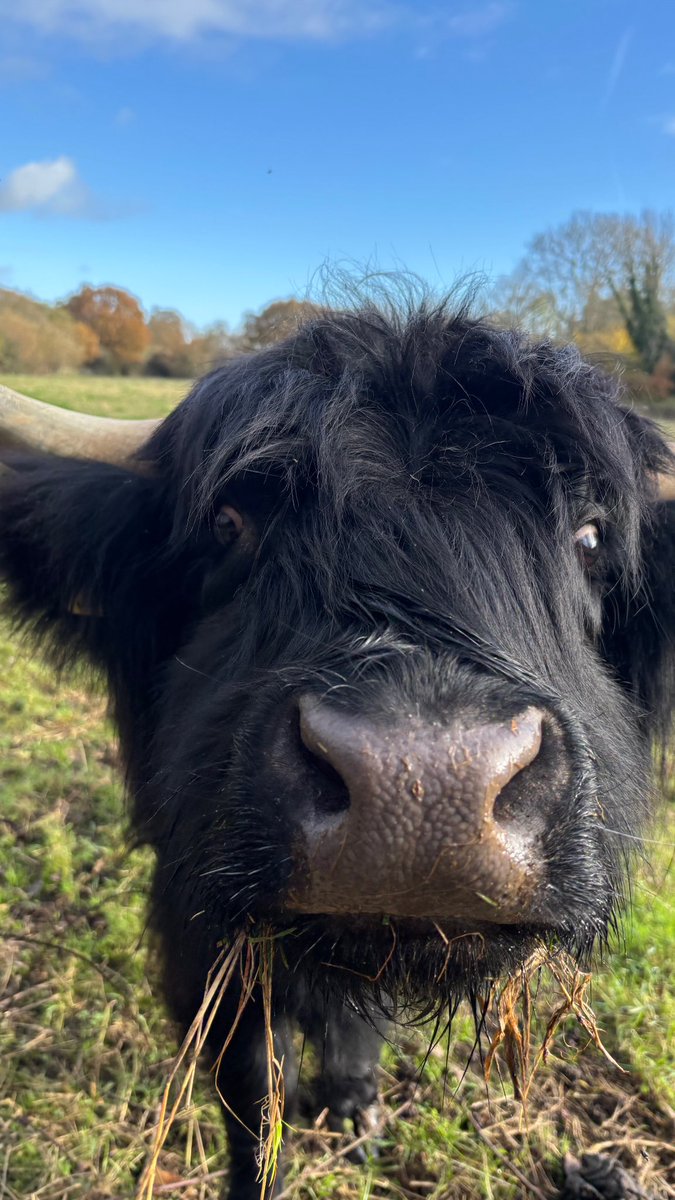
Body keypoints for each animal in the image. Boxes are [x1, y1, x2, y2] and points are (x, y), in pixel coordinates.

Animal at [1, 299, 674, 1199]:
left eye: (590, 537)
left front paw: (355, 1108)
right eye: (229, 523)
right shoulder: (201, 927)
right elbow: (251, 1076)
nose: (423, 790)